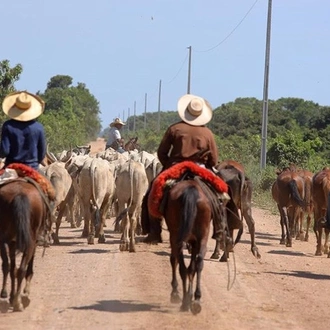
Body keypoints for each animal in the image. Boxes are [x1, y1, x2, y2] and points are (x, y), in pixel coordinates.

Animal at [0, 179, 48, 310]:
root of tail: (20, 194)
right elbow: (17, 268)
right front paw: (17, 293)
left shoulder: (10, 242)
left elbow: (10, 268)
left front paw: (8, 295)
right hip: (30, 240)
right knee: (21, 268)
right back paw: (17, 301)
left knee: (9, 266)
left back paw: (12, 297)